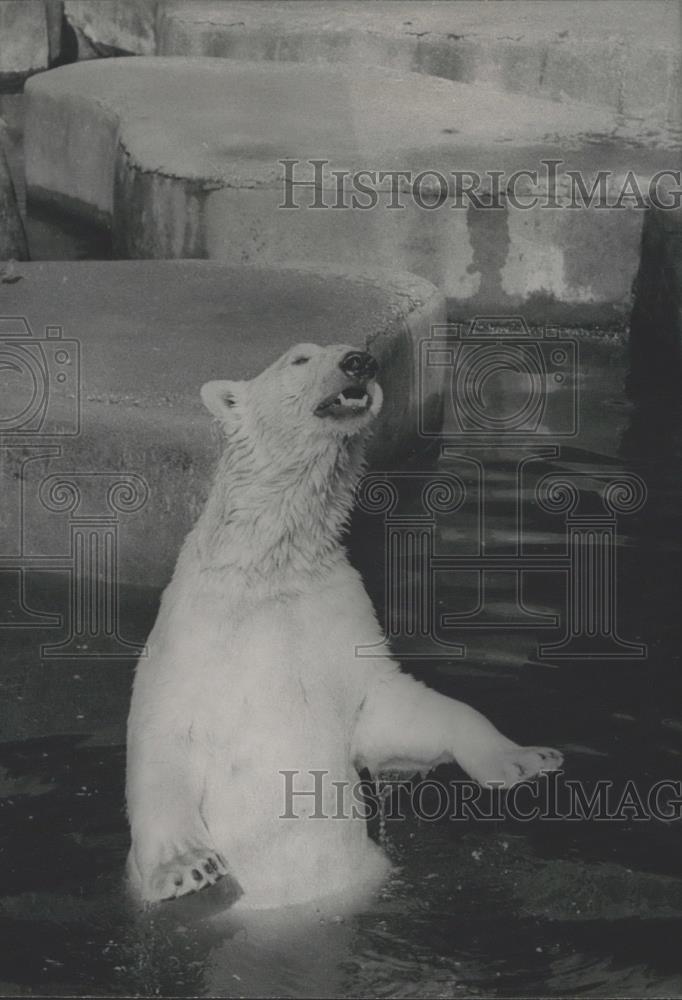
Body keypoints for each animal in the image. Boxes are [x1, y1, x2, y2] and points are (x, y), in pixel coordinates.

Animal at [125, 346, 560, 916]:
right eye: (299, 357)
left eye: (350, 351)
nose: (360, 361)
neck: (271, 569)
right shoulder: (191, 640)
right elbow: (163, 738)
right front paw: (187, 868)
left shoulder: (338, 623)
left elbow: (391, 708)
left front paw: (527, 760)